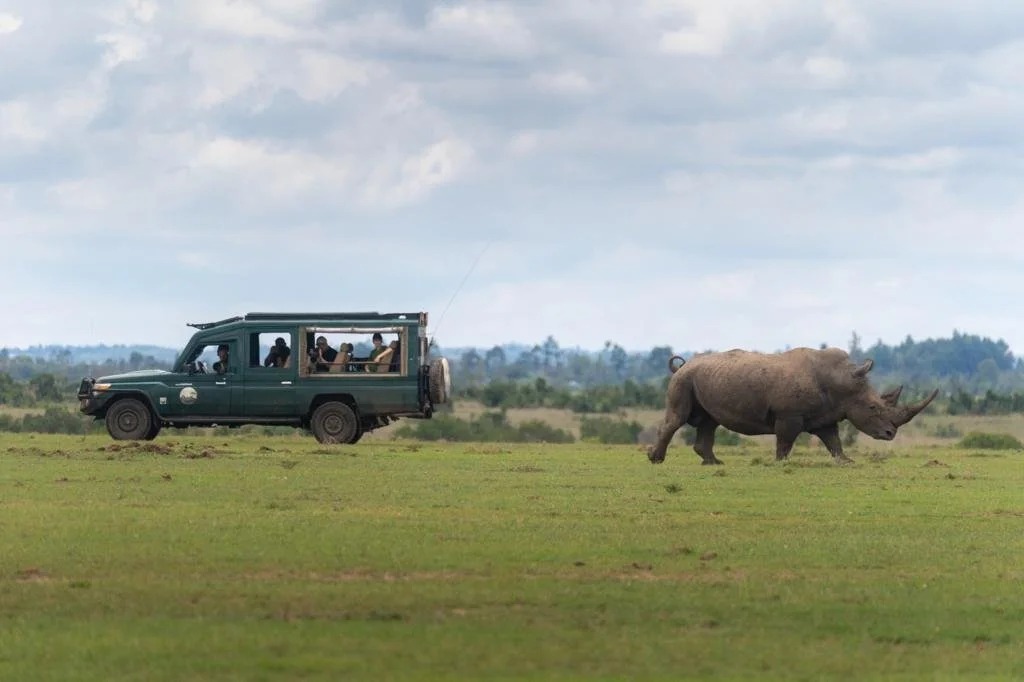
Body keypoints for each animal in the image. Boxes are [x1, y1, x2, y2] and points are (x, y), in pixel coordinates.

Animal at [648, 347, 938, 465]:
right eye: (873, 408)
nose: (891, 434)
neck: (842, 381)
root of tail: (683, 365)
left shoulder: (825, 415)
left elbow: (833, 440)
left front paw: (846, 461)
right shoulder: (789, 415)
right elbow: (785, 440)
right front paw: (780, 463)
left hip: (702, 379)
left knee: (709, 421)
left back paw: (713, 463)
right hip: (684, 380)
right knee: (678, 419)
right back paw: (656, 460)